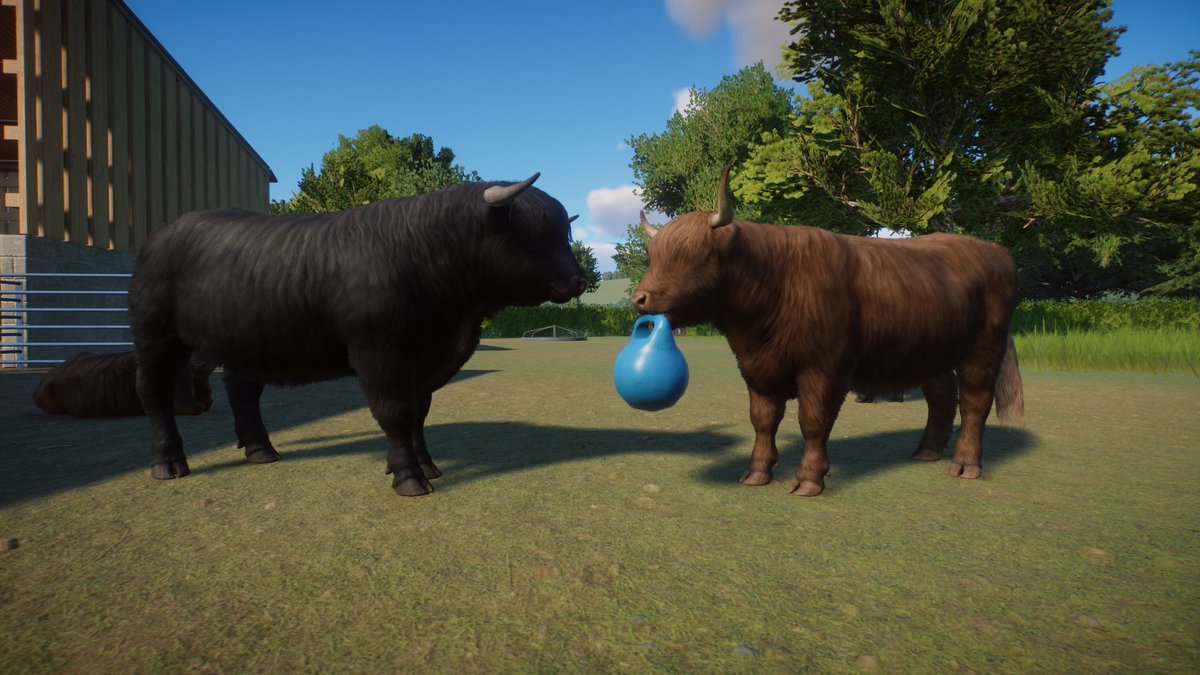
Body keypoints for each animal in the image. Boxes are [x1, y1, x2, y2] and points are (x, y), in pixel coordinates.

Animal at [128, 173, 587, 496]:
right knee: (154, 393)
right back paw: (168, 463)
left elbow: (418, 412)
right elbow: (396, 412)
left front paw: (426, 464)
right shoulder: (379, 353)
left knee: (242, 392)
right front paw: (409, 477)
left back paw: (262, 451)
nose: (579, 280)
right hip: (156, 337)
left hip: (246, 343)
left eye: (562, 232)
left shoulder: (424, 359)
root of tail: (163, 232)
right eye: (533, 234)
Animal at [633, 168, 1024, 496]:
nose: (640, 298)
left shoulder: (824, 367)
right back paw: (927, 450)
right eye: (653, 256)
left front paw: (809, 479)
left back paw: (966, 464)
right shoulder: (756, 369)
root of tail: (997, 252)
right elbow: (763, 420)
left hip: (983, 350)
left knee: (974, 402)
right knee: (943, 397)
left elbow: (814, 421)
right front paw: (757, 472)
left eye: (692, 254)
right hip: (931, 353)